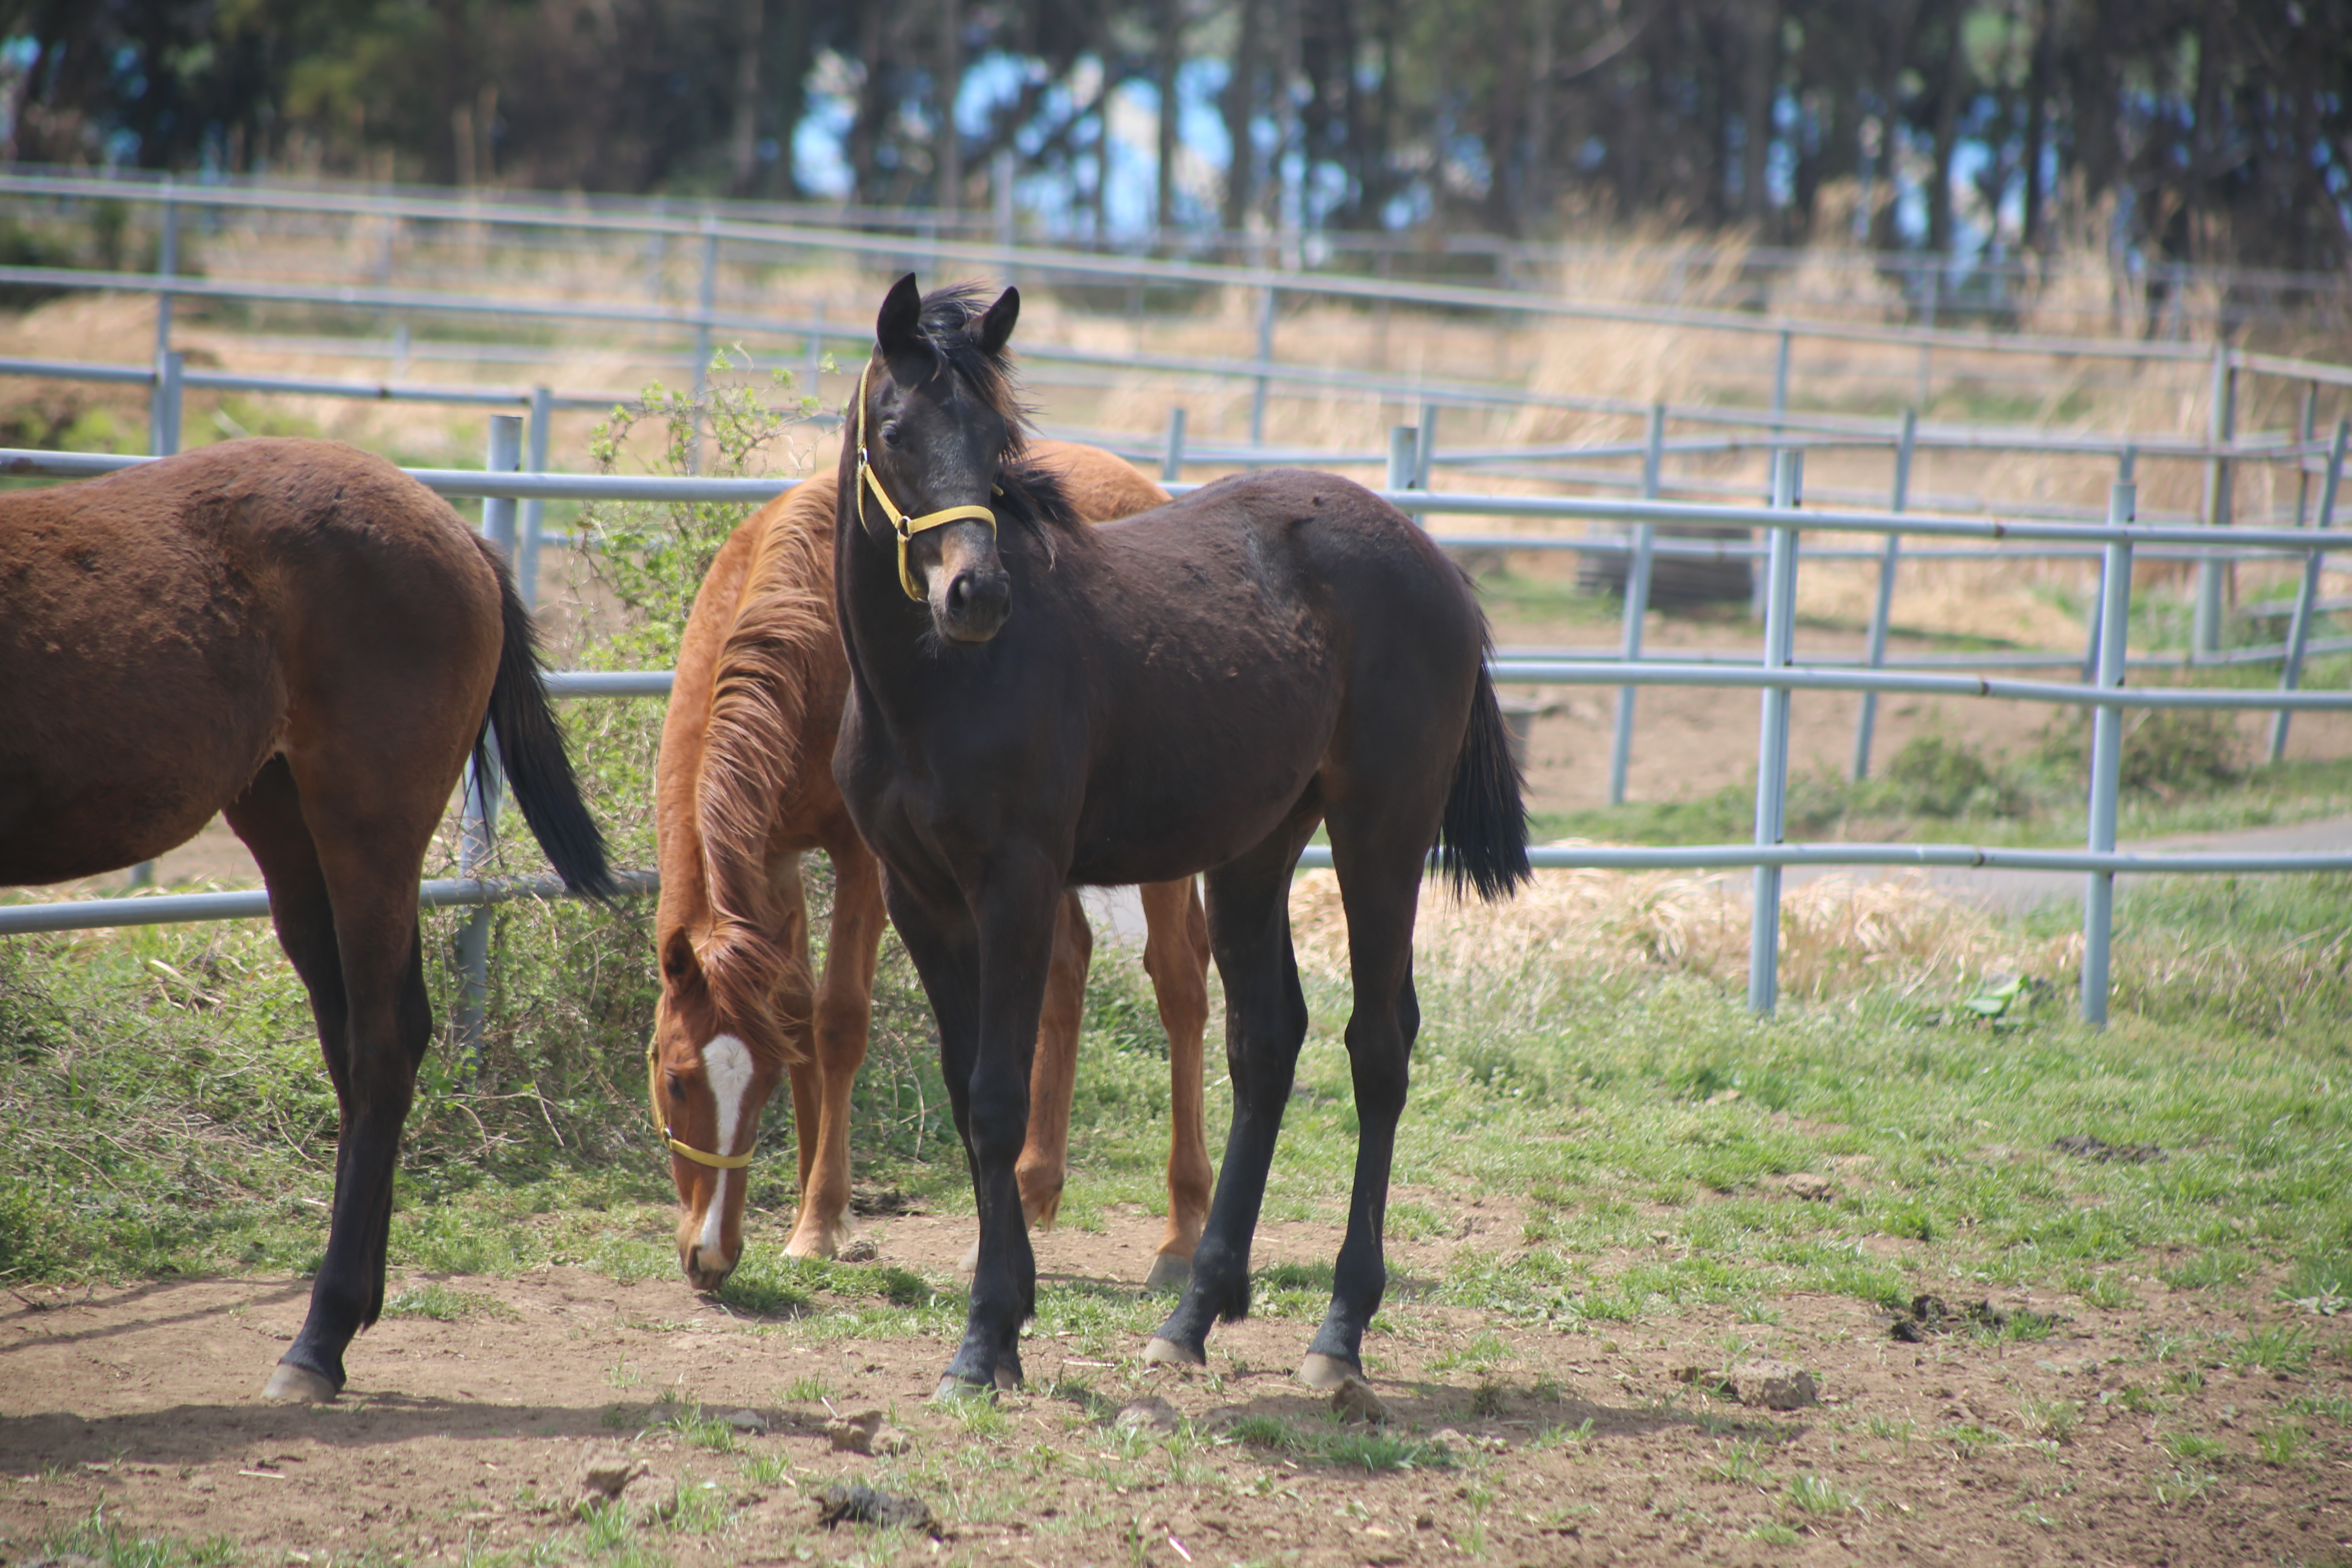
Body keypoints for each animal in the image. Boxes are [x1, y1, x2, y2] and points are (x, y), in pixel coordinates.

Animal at [0, 435, 616, 1401]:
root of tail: (455, 535)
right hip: (286, 826)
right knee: (362, 1045)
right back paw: (355, 1309)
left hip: (366, 826)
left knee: (383, 1044)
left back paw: (318, 1340)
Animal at [658, 439, 1223, 1288]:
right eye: (675, 1078)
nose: (710, 1256)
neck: (806, 634)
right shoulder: (775, 857)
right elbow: (793, 1007)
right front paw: (815, 1205)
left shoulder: (866, 858)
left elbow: (838, 1020)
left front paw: (820, 1220)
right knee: (1068, 966)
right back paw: (1031, 1191)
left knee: (1181, 985)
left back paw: (1182, 1235)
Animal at [837, 278, 1533, 1401]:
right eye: (895, 431)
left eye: (997, 438)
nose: (975, 594)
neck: (935, 688)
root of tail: (1432, 558)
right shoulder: (921, 895)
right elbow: (963, 1088)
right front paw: (1013, 1311)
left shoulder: (1017, 884)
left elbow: (996, 1099)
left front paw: (983, 1343)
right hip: (1257, 850)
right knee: (1267, 1041)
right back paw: (1193, 1314)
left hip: (1380, 834)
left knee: (1378, 1047)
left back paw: (1338, 1334)